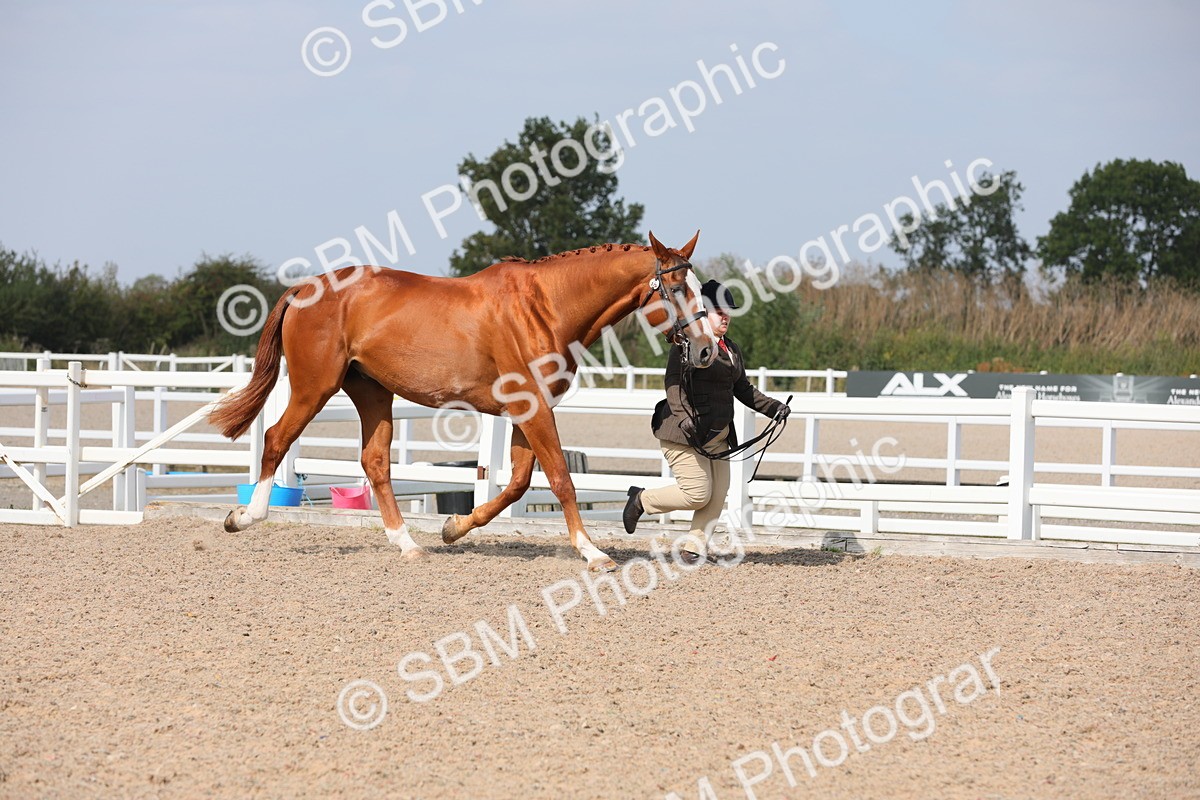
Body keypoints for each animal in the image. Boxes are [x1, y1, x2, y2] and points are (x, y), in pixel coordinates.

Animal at [208, 231, 717, 572]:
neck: (545, 307)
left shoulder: (527, 411)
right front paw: (592, 552)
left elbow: (517, 483)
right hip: (314, 387)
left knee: (375, 462)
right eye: (677, 289)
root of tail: (304, 287)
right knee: (277, 438)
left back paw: (408, 544)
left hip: (372, 392)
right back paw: (245, 516)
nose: (708, 349)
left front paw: (453, 527)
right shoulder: (533, 408)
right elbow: (560, 479)